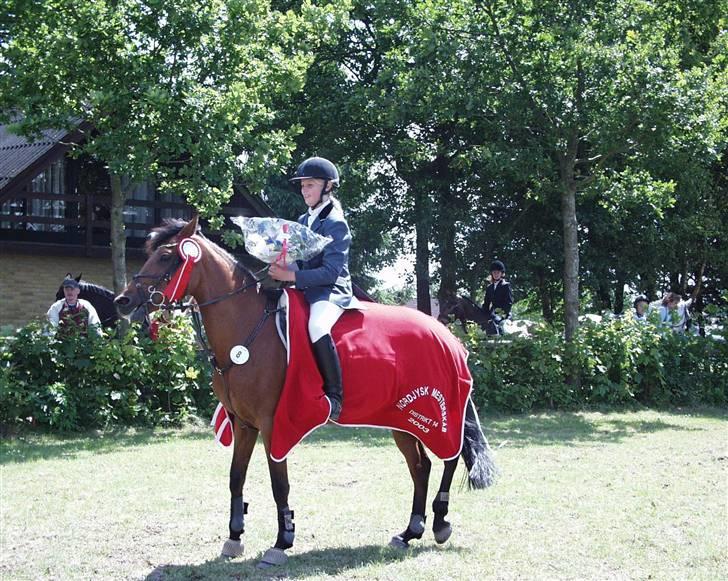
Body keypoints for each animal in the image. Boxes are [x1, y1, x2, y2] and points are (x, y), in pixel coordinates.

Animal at [114, 218, 498, 568]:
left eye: (166, 256)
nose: (123, 300)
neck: (249, 331)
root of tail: (449, 338)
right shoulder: (243, 423)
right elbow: (236, 477)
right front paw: (234, 537)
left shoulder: (274, 424)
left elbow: (278, 484)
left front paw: (281, 542)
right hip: (402, 419)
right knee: (421, 466)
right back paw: (409, 532)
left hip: (436, 413)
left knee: (450, 457)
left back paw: (440, 523)